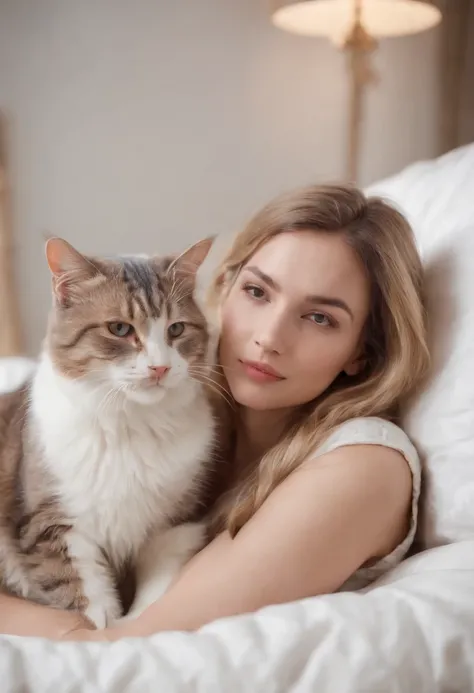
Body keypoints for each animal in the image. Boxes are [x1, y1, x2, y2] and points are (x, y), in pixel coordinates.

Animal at [0, 234, 217, 628]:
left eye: (176, 329)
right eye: (119, 329)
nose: (160, 368)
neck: (130, 424)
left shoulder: (174, 523)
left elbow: (155, 595)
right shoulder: (53, 523)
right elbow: (89, 602)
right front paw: (104, 623)